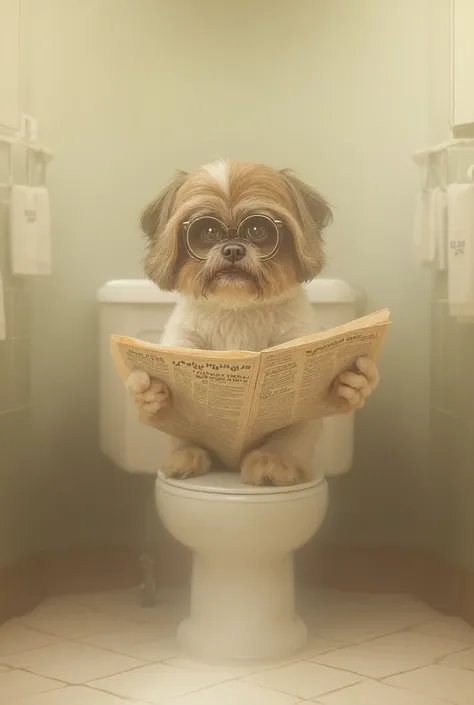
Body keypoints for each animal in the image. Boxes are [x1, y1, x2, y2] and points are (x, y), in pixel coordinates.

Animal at [128, 162, 380, 486]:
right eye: (208, 231)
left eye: (258, 230)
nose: (233, 249)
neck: (239, 309)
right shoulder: (183, 340)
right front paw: (147, 392)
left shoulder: (294, 342)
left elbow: (297, 425)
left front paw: (353, 383)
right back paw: (186, 458)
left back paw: (274, 462)